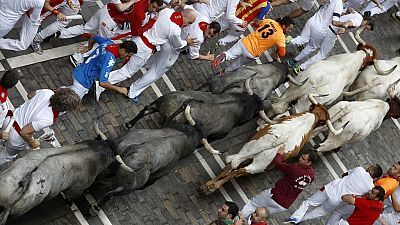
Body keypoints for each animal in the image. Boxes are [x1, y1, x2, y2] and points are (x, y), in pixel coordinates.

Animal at [200, 94, 346, 194]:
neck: (311, 117)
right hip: (260, 166)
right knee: (237, 171)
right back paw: (213, 186)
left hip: (249, 150)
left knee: (231, 166)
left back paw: (209, 185)